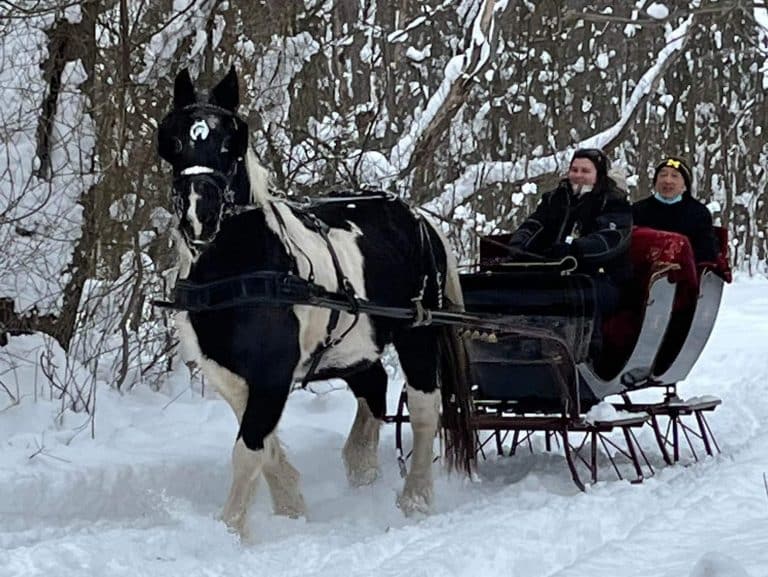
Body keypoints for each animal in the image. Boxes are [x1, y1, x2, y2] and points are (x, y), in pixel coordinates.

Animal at [156, 66, 474, 536]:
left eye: (230, 143)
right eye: (175, 140)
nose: (201, 214)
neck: (239, 274)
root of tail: (417, 217)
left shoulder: (272, 372)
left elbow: (248, 449)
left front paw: (231, 530)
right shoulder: (227, 373)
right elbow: (264, 445)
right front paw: (291, 509)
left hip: (418, 333)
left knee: (422, 409)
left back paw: (415, 498)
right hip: (353, 344)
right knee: (374, 386)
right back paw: (361, 472)